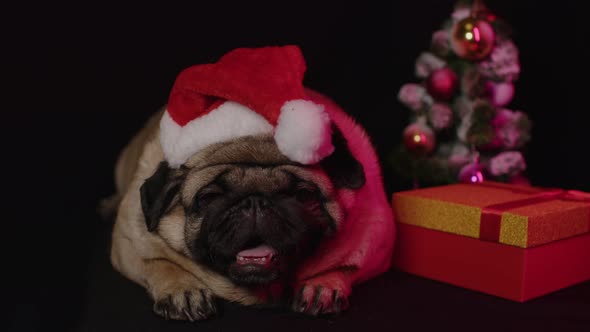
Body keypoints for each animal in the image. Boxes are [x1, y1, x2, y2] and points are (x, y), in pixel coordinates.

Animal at [104, 45, 396, 320]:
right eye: (208, 198)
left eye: (303, 195)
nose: (255, 201)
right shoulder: (129, 243)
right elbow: (159, 262)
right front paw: (182, 288)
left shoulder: (376, 246)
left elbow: (344, 266)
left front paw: (321, 283)